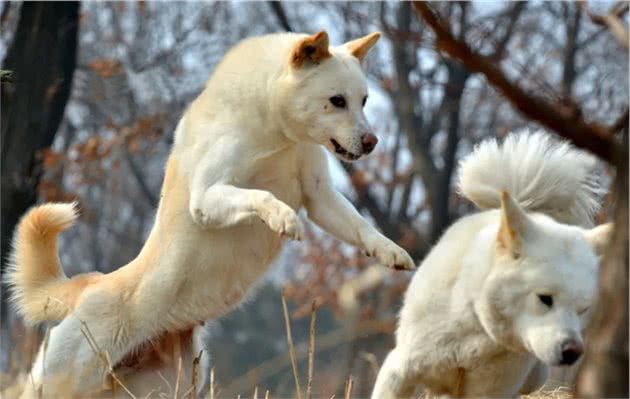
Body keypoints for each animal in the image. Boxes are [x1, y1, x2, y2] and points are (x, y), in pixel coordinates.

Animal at [9, 30, 418, 396]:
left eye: (363, 100)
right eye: (336, 100)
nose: (371, 142)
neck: (275, 132)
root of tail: (91, 283)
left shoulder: (319, 196)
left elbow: (361, 228)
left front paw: (391, 252)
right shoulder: (207, 199)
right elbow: (259, 196)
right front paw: (282, 217)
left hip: (169, 386)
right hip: (64, 380)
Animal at [372, 130, 616, 396]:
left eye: (583, 309)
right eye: (545, 299)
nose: (572, 352)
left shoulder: (490, 390)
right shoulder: (399, 369)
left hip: (535, 376)